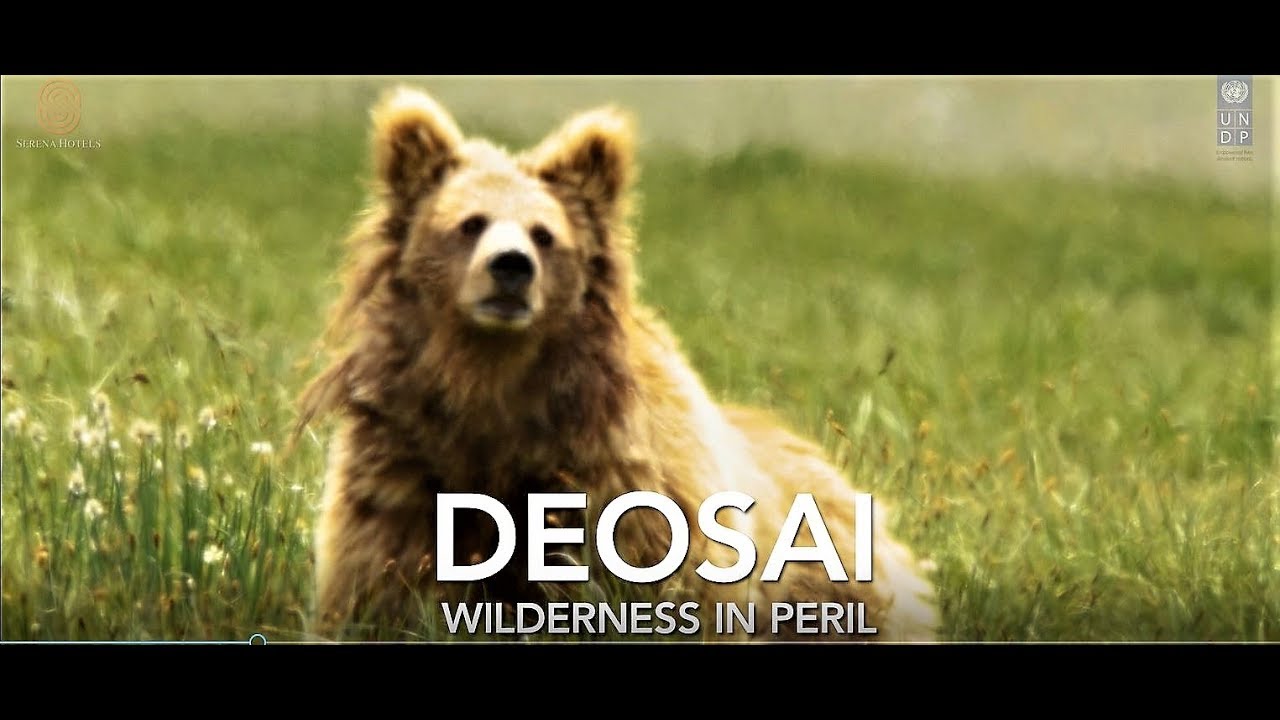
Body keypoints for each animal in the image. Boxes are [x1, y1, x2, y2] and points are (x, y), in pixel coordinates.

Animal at [298, 87, 939, 641]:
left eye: (544, 234)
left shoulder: (616, 482)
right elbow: (378, 583)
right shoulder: (404, 468)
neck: (493, 383)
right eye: (470, 222)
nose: (511, 267)